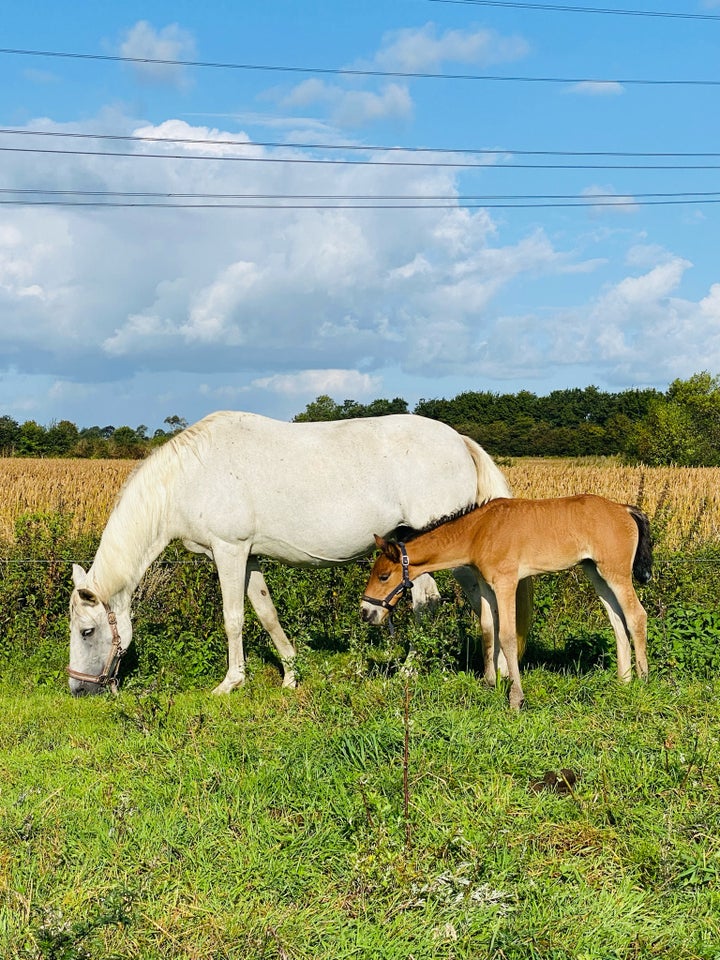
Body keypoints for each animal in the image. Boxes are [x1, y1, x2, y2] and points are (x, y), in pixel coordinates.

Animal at [69, 408, 528, 692]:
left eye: (86, 631)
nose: (77, 688)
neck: (188, 476)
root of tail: (460, 441)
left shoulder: (228, 551)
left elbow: (233, 618)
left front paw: (231, 682)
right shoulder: (250, 556)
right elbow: (266, 613)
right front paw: (291, 674)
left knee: (444, 601)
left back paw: (424, 671)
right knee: (473, 598)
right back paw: (494, 670)